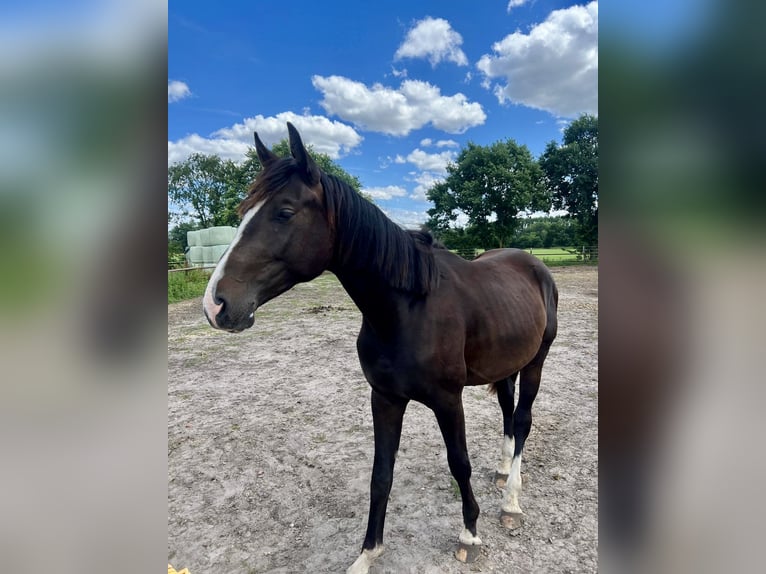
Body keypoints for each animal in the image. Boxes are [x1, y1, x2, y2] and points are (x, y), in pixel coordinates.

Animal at [204, 122, 560, 574]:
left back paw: (511, 502)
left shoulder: (448, 401)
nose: (215, 304)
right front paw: (367, 553)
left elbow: (458, 463)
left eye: (284, 212)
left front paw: (469, 534)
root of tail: (534, 265)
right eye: (243, 212)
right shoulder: (385, 398)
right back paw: (501, 472)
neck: (408, 309)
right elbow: (381, 474)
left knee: (523, 420)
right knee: (509, 416)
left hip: (536, 362)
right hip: (507, 364)